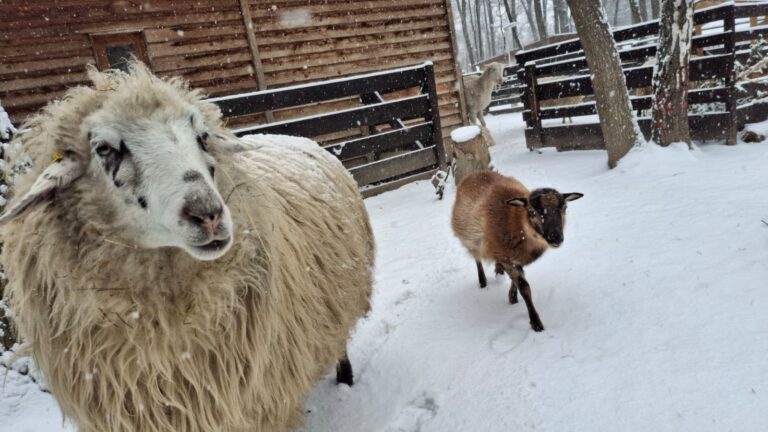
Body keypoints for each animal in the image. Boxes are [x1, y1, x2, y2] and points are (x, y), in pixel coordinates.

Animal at [451, 171, 582, 332]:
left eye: (564, 209)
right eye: (532, 212)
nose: (556, 237)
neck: (516, 224)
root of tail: (474, 173)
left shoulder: (515, 258)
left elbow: (516, 280)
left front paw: (512, 297)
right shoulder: (506, 256)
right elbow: (524, 287)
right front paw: (536, 323)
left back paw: (498, 271)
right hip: (471, 241)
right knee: (477, 260)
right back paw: (482, 282)